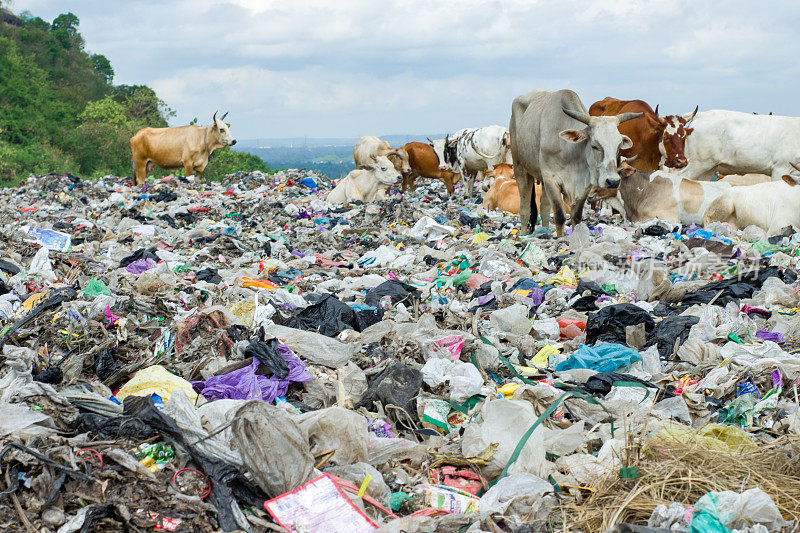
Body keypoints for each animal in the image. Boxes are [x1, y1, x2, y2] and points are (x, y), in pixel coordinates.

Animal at [512, 89, 644, 235]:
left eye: (619, 146)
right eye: (594, 145)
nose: (613, 181)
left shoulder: (585, 184)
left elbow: (576, 216)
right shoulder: (550, 179)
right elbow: (559, 215)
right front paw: (561, 238)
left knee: (544, 208)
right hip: (520, 169)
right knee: (525, 209)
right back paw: (524, 233)